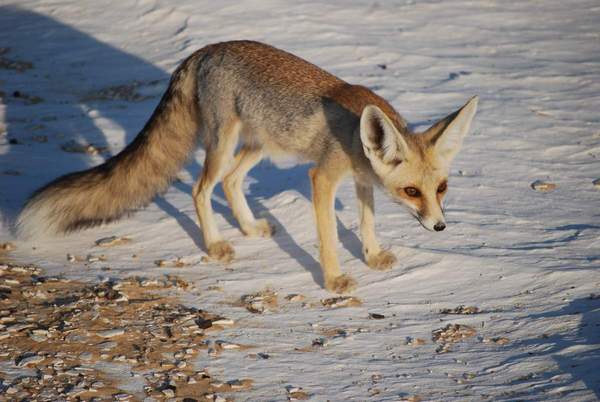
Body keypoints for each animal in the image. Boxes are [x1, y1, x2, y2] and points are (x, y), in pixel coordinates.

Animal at [17, 40, 478, 292]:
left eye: (441, 189)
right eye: (412, 192)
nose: (440, 227)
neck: (353, 135)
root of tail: (204, 50)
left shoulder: (362, 180)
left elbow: (366, 223)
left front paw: (372, 255)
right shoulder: (323, 177)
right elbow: (329, 239)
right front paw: (333, 281)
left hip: (258, 145)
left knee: (230, 183)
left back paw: (248, 227)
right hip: (224, 143)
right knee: (200, 189)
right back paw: (216, 244)